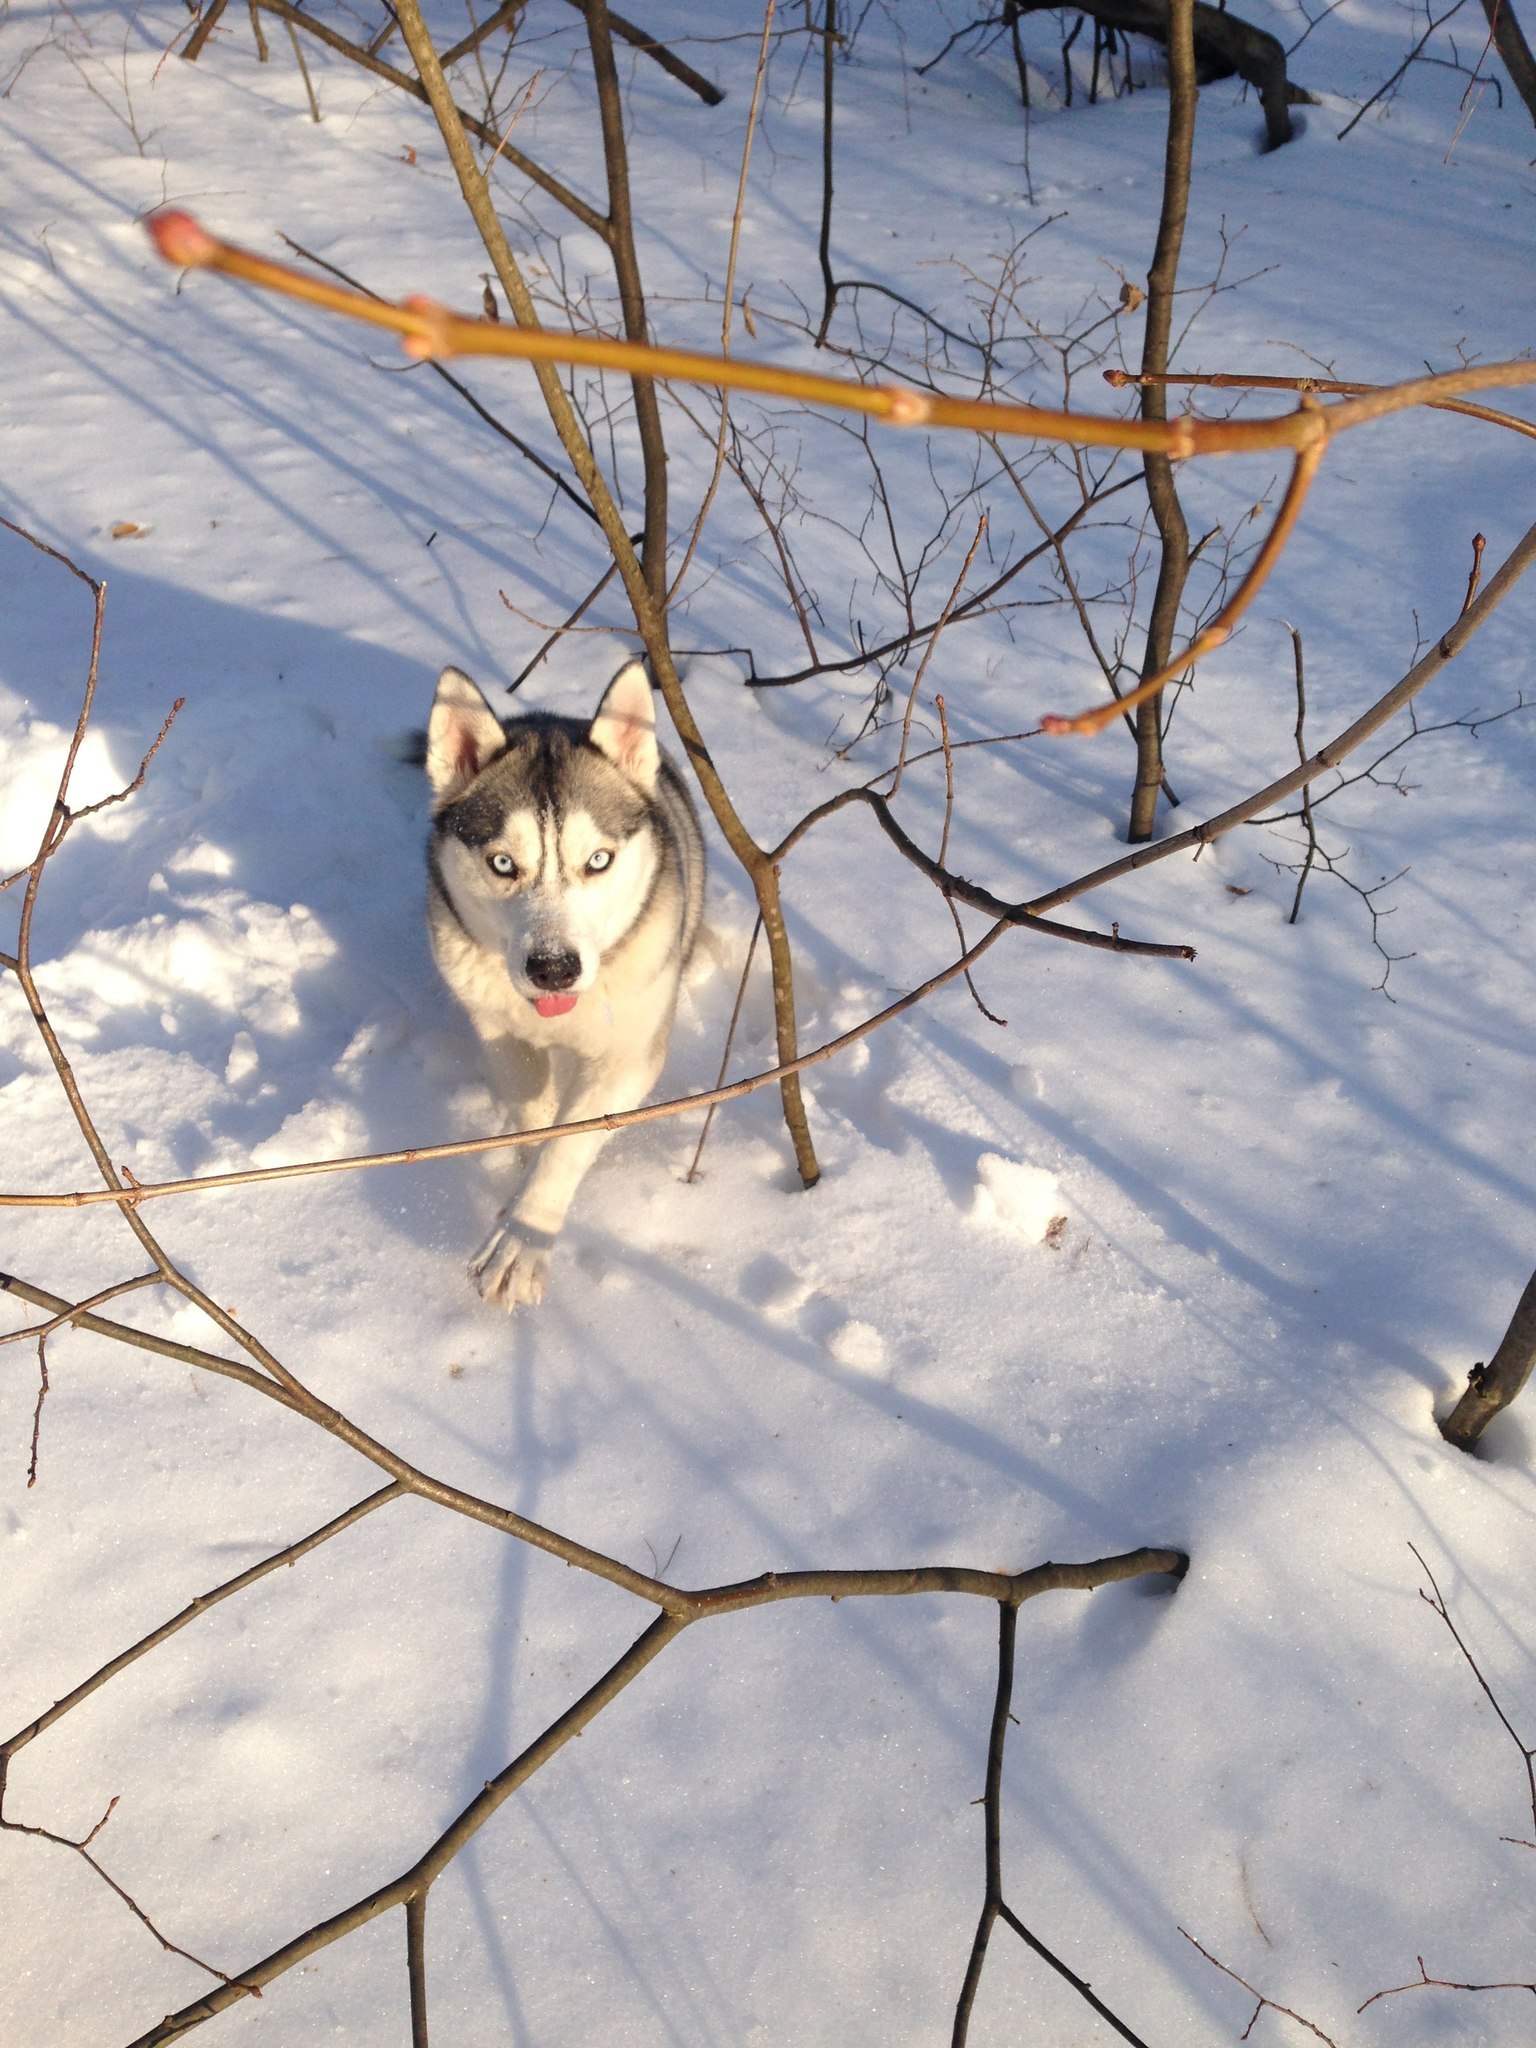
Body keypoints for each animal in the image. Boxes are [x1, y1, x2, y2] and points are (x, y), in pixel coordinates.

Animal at [423, 659, 708, 1310]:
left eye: (598, 860)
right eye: (503, 863)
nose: (553, 968)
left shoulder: (628, 1055)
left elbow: (568, 1144)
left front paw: (523, 1237)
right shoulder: (497, 1027)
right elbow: (536, 1111)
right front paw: (523, 1172)